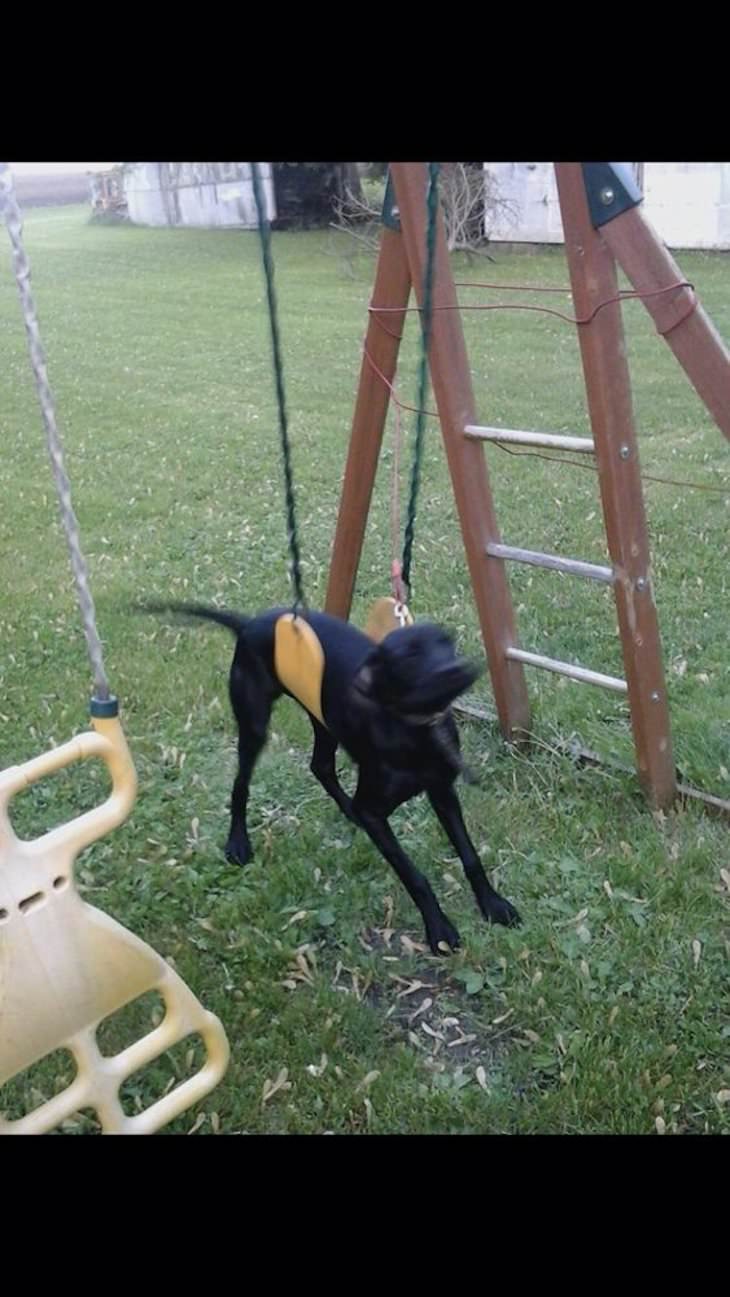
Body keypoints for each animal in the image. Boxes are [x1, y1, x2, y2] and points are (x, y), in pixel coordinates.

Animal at [147, 599, 518, 954]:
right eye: (410, 656)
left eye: (447, 644)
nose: (459, 668)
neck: (412, 728)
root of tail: (250, 623)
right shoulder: (374, 811)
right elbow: (414, 876)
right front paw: (439, 929)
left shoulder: (442, 790)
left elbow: (470, 856)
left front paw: (493, 904)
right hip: (254, 724)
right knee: (242, 785)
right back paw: (238, 842)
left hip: (322, 717)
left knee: (320, 766)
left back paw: (345, 810)